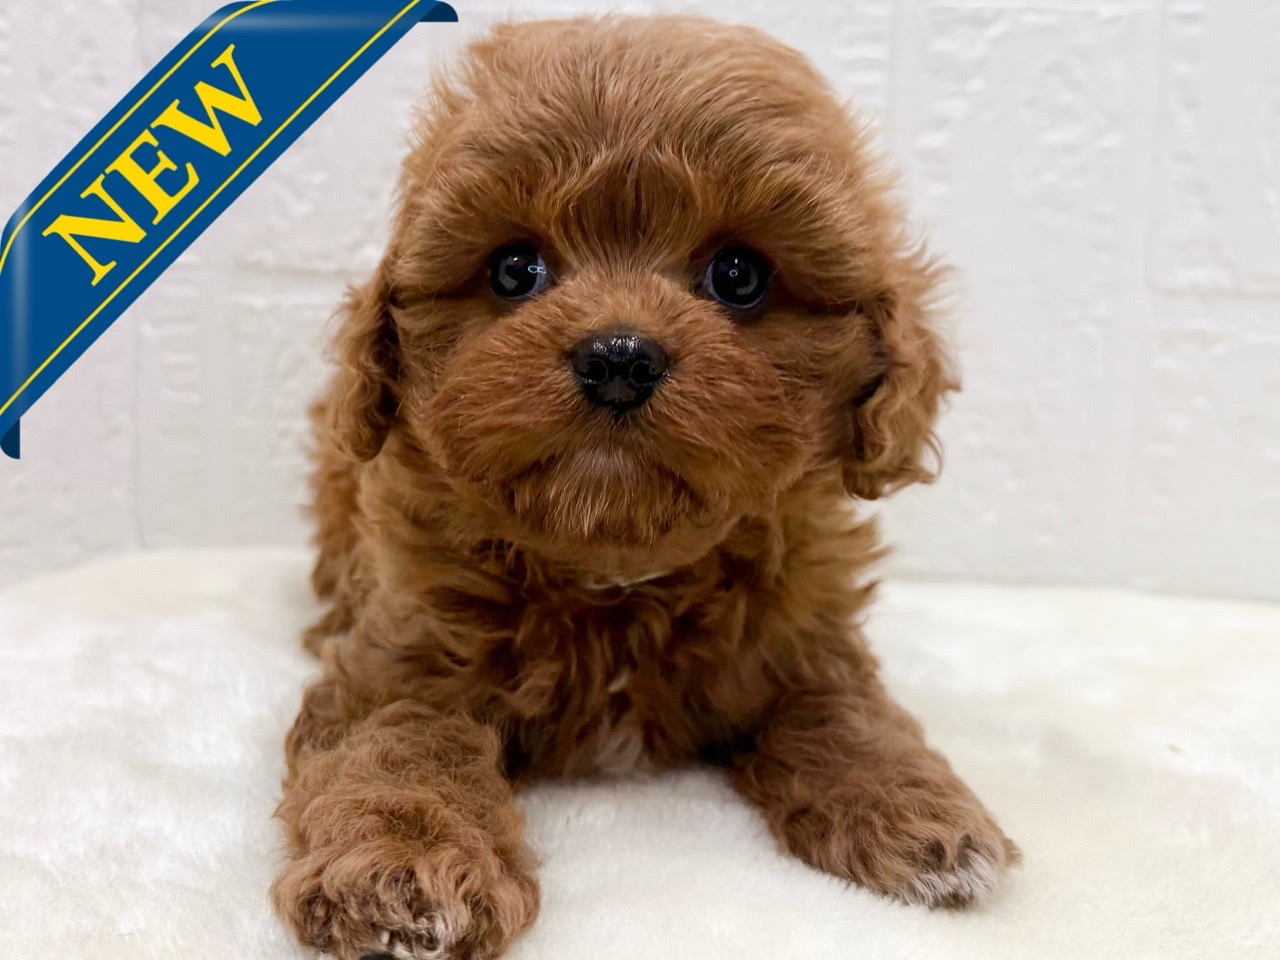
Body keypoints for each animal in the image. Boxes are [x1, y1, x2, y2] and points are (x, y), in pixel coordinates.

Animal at [272, 16, 1017, 960]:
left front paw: (913, 808)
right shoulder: (400, 657)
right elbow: (401, 745)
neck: (616, 571)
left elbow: (847, 714)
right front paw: (405, 862)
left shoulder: (810, 643)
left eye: (738, 275)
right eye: (515, 270)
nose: (618, 356)